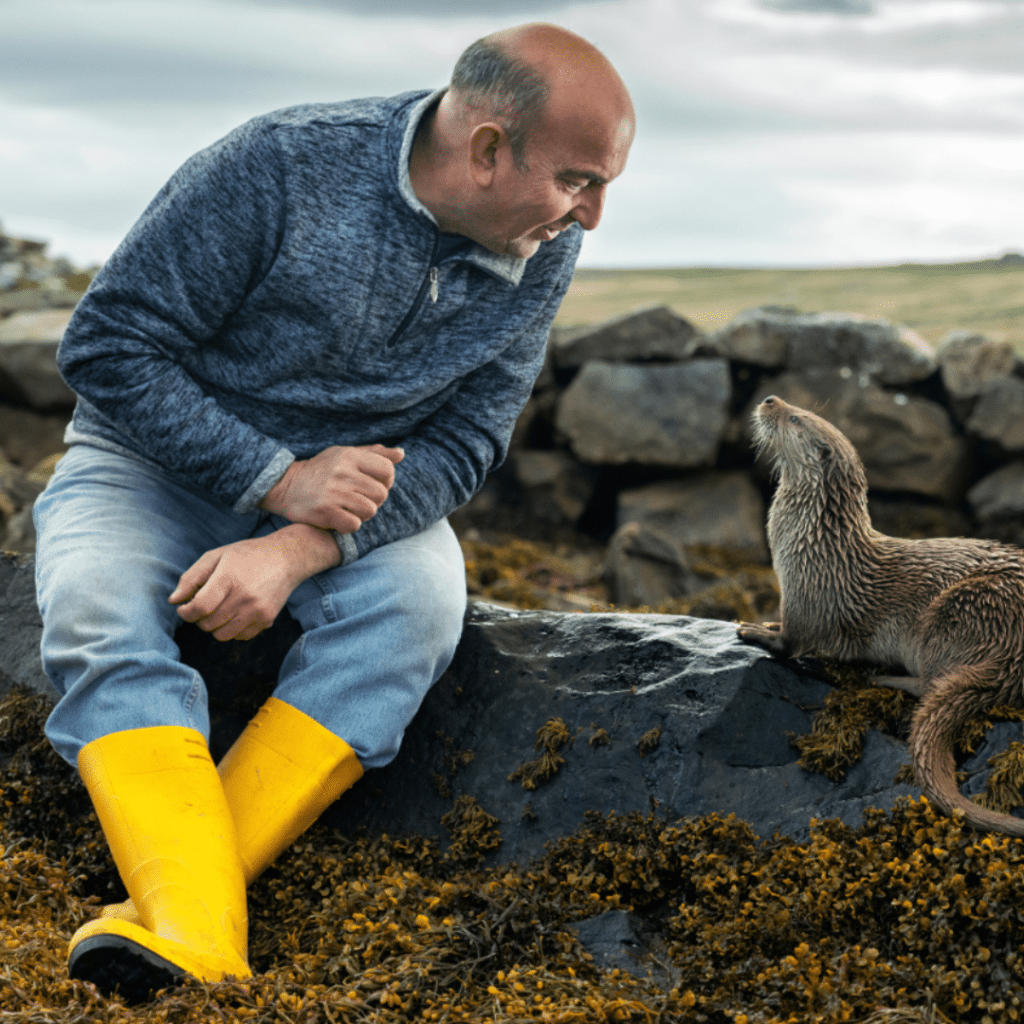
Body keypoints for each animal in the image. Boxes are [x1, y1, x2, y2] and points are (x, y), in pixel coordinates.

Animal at [741, 395, 1024, 835]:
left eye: (796, 418)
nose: (770, 400)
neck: (816, 543)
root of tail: (1014, 652)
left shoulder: (808, 596)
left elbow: (792, 642)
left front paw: (756, 630)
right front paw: (767, 621)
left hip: (959, 611)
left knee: (931, 682)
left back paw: (884, 677)